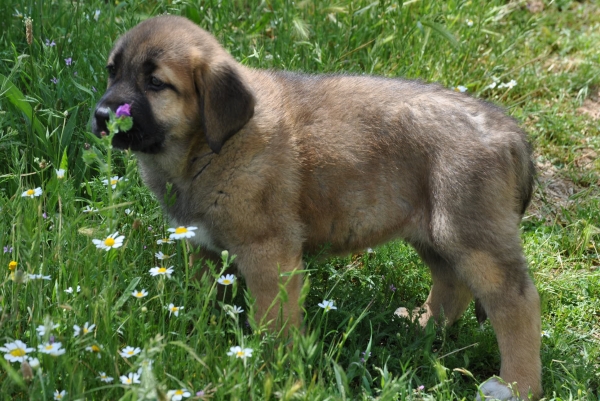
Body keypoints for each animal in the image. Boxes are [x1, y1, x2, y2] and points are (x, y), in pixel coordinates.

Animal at [91, 15, 540, 400]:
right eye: (112, 71)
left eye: (155, 83)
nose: (101, 115)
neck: (208, 146)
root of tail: (510, 133)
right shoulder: (200, 244)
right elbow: (207, 296)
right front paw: (205, 334)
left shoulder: (268, 251)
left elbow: (274, 319)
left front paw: (270, 365)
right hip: (433, 230)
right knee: (452, 284)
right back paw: (425, 326)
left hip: (468, 234)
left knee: (516, 303)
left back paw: (517, 385)